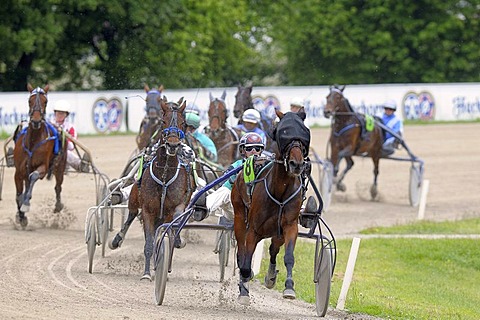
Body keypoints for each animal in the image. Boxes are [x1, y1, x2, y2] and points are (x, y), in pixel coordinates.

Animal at [13, 83, 67, 228]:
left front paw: (25, 206)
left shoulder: (43, 167)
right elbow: (19, 195)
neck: (33, 141)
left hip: (60, 165)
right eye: (29, 101)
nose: (36, 121)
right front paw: (21, 216)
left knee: (58, 186)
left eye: (45, 101)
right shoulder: (19, 172)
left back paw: (58, 205)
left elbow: (34, 177)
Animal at [111, 95, 197, 280]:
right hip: (135, 198)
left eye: (183, 123)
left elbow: (175, 220)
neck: (164, 176)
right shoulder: (148, 211)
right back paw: (117, 240)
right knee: (131, 215)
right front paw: (146, 273)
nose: (172, 144)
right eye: (163, 121)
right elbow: (149, 243)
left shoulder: (176, 206)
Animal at [232, 109, 312, 304]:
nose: (297, 164)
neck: (279, 190)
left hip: (276, 231)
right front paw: (244, 289)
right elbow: (245, 262)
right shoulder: (253, 229)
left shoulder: (289, 226)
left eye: (304, 131)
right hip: (239, 217)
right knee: (242, 253)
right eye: (282, 131)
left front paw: (289, 287)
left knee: (273, 248)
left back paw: (270, 277)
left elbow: (288, 257)